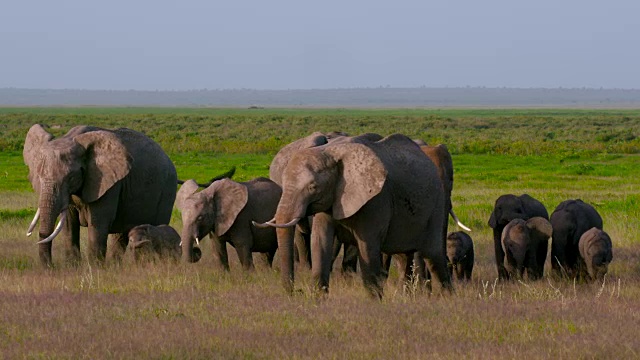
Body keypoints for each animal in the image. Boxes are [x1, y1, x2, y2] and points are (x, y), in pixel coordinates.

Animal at [23, 124, 176, 268]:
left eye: (70, 177)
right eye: (38, 176)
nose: (51, 267)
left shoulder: (109, 183)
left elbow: (97, 222)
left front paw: (94, 269)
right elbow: (68, 224)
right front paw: (73, 267)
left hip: (167, 190)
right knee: (120, 235)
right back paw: (115, 266)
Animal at [252, 132, 452, 298]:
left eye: (313, 187)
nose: (298, 291)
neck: (331, 152)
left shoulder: (376, 200)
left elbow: (367, 247)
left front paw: (375, 305)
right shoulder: (332, 198)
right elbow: (320, 242)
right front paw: (318, 302)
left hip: (436, 203)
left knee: (432, 254)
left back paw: (446, 299)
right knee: (403, 254)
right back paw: (408, 297)